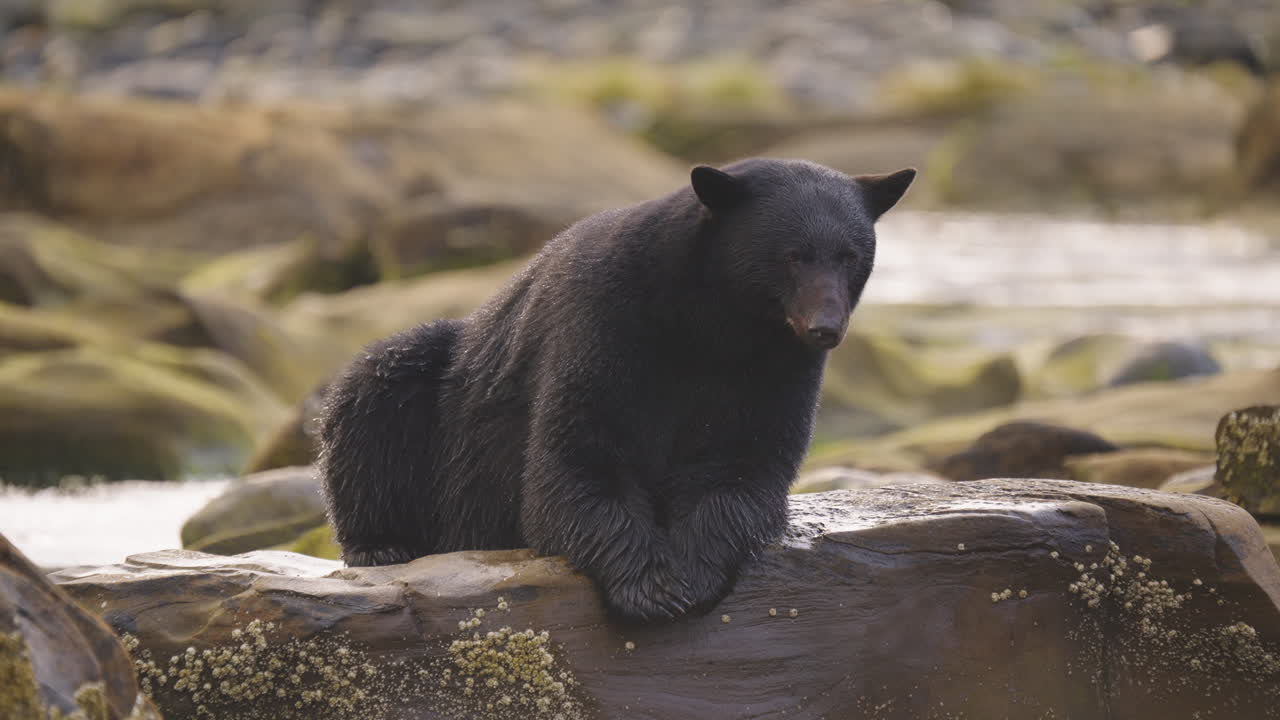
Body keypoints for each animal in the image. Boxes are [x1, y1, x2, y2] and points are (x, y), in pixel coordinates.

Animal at [318, 158, 915, 623]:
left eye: (851, 256)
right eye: (792, 254)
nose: (825, 327)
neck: (712, 321)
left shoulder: (776, 367)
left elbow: (742, 466)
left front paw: (692, 571)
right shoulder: (602, 324)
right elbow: (575, 461)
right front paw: (652, 587)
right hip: (443, 399)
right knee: (375, 395)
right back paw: (382, 545)